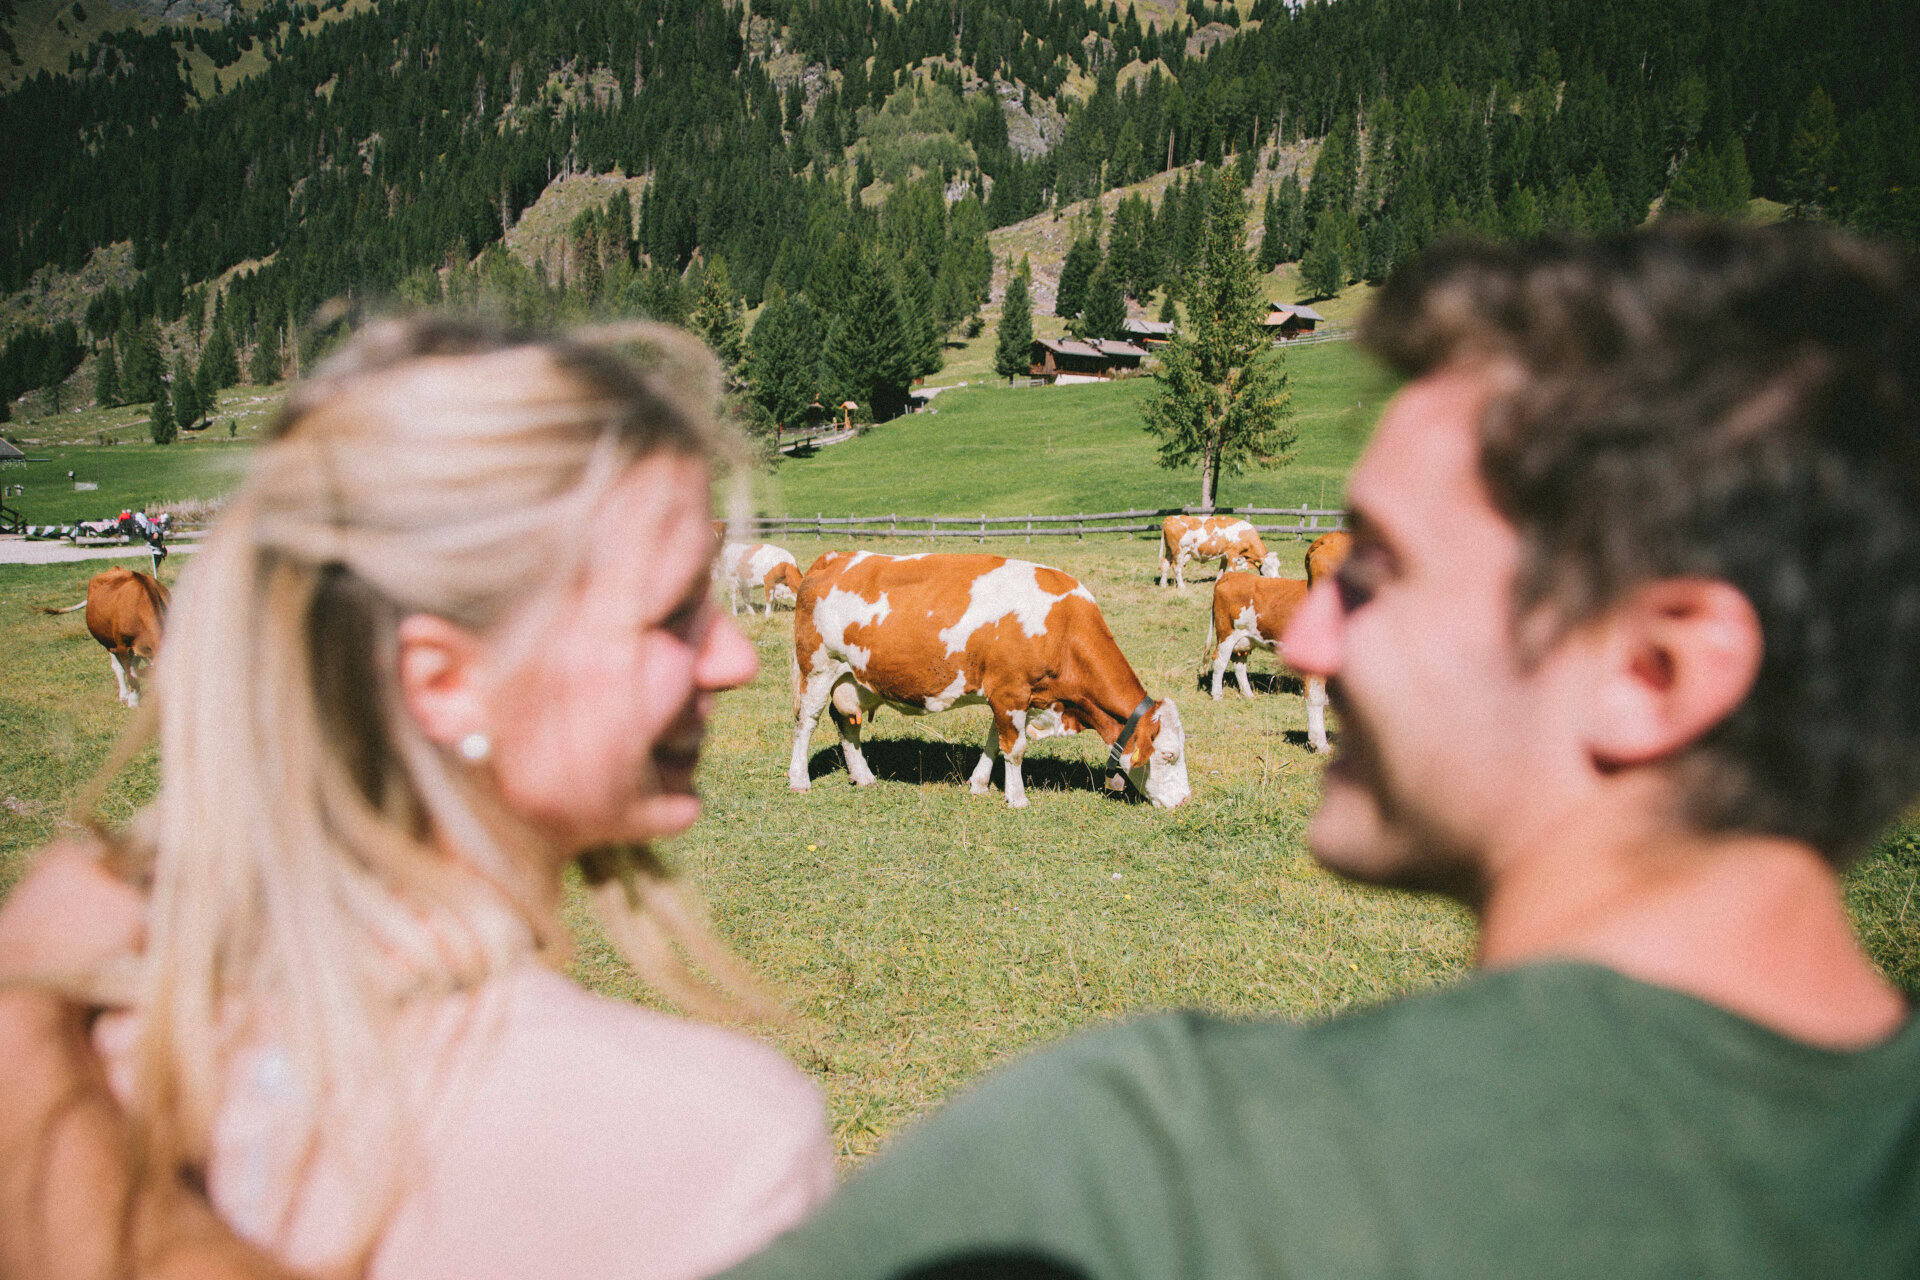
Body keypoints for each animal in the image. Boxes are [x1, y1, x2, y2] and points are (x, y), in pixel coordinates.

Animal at [39, 571, 168, 710]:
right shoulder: (122, 646)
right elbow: (131, 675)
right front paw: (133, 701)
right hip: (108, 643)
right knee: (118, 668)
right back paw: (124, 695)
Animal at [791, 552, 1182, 809]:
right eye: (1169, 754)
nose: (1185, 800)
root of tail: (832, 557)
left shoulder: (1013, 694)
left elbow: (996, 742)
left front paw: (979, 783)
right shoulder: (1011, 692)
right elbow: (1016, 747)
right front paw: (1018, 798)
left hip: (852, 679)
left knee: (847, 723)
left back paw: (863, 775)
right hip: (817, 668)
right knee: (806, 723)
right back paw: (799, 780)